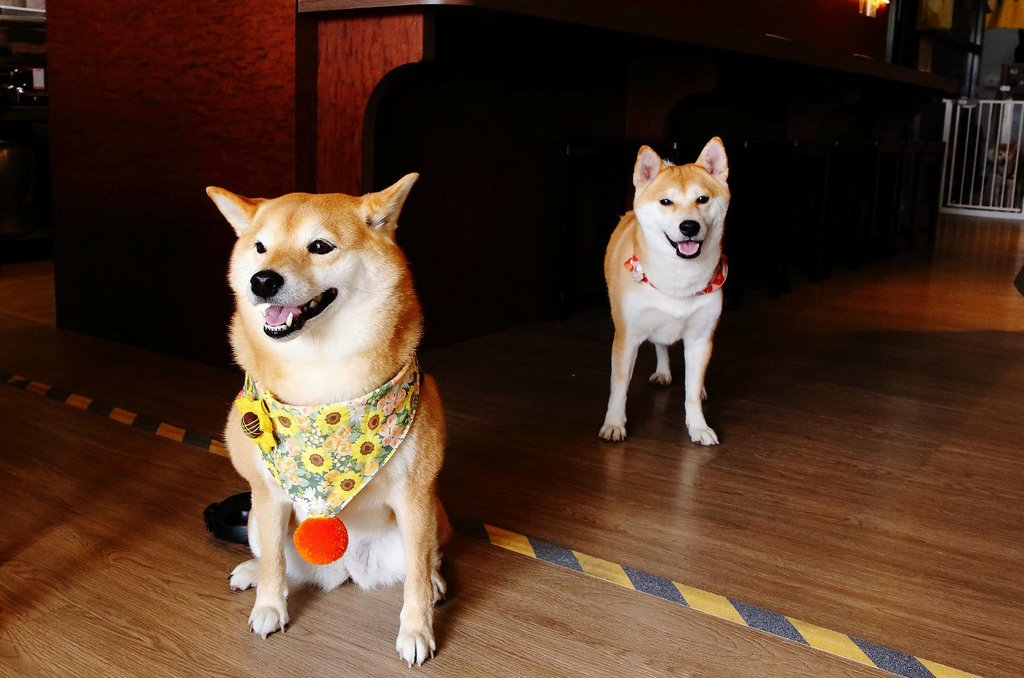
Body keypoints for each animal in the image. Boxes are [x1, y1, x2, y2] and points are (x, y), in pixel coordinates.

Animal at [205, 175, 450, 667]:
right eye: (260, 247)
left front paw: (417, 630)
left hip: (426, 517)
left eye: (320, 246)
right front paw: (269, 606)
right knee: (275, 558)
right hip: (259, 521)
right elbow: (275, 564)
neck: (321, 383)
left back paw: (435, 584)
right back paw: (250, 571)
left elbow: (414, 580)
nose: (262, 281)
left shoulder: (414, 496)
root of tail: (348, 569)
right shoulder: (268, 494)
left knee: (425, 562)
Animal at [598, 138, 733, 446]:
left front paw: (698, 426)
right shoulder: (627, 336)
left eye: (702, 199)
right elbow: (619, 386)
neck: (678, 279)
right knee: (660, 343)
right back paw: (662, 372)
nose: (689, 226)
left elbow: (692, 391)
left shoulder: (700, 338)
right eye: (666, 202)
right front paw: (614, 424)